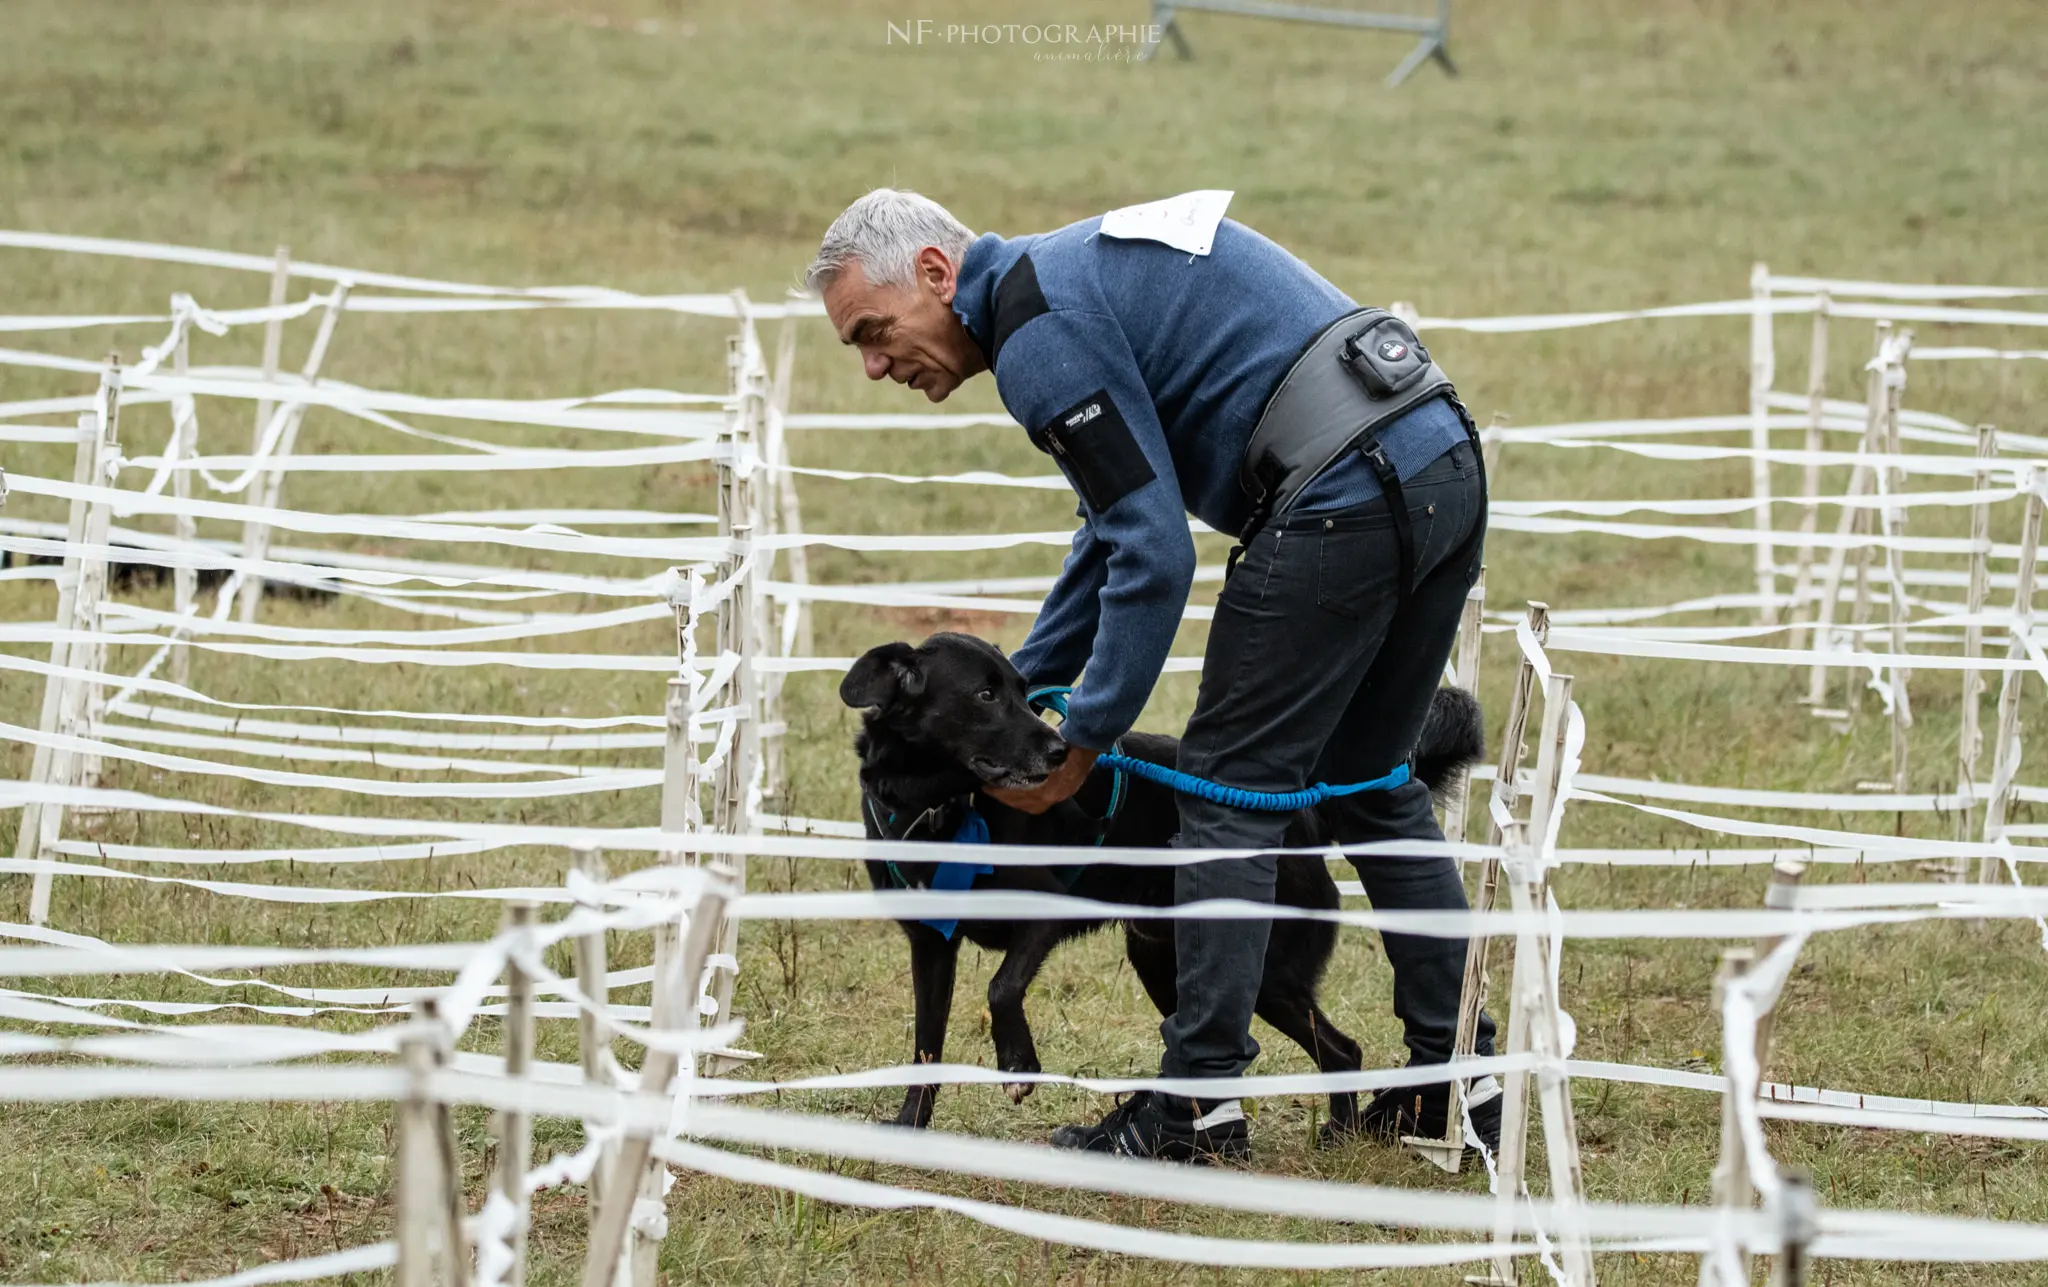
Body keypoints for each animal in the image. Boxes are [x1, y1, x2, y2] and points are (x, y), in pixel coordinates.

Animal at [839, 635, 1482, 1139]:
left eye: (1025, 692)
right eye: (986, 695)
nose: (1060, 752)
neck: (939, 806)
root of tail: (1302, 814)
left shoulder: (1045, 912)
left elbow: (1001, 987)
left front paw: (1018, 1064)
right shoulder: (930, 945)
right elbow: (926, 1047)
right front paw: (910, 1128)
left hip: (1263, 971)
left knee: (1341, 1049)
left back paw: (1339, 1139)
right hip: (1163, 958)